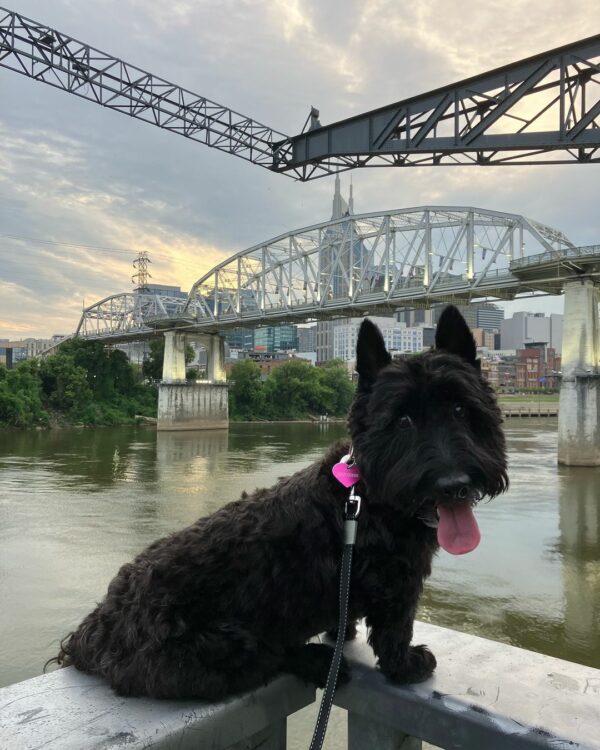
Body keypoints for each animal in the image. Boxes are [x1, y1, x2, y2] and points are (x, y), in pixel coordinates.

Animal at [55, 306, 506, 700]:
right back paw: (318, 661)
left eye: (461, 408)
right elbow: (395, 630)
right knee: (271, 657)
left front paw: (344, 634)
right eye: (403, 420)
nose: (454, 484)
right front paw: (406, 665)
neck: (367, 496)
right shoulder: (397, 582)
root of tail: (92, 633)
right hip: (222, 645)